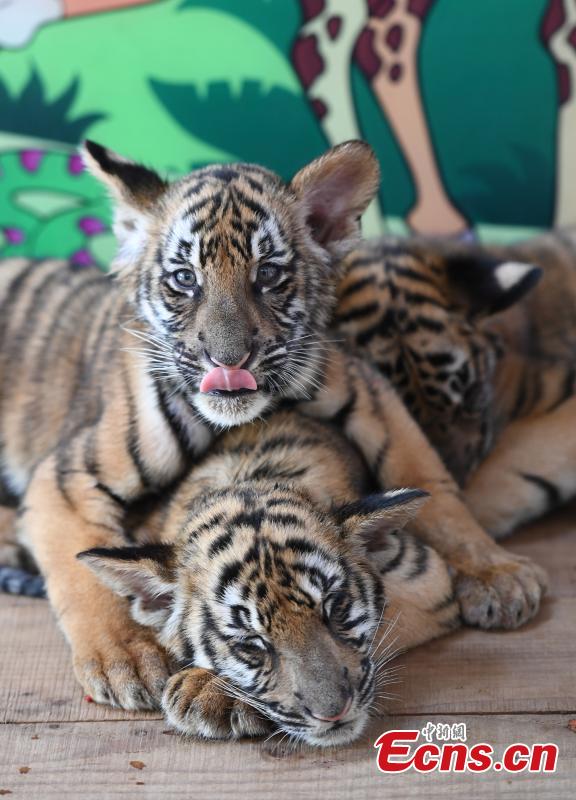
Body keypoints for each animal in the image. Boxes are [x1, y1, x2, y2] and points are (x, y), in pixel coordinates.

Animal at [0, 139, 546, 711]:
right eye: (185, 279)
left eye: (267, 275)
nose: (228, 360)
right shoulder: (67, 475)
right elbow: (83, 573)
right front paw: (126, 657)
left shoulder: (369, 396)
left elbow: (435, 492)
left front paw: (498, 572)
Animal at [79, 411, 459, 746]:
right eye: (251, 643)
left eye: (335, 609)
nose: (334, 713)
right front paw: (208, 688)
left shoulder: (427, 579)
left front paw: (206, 692)